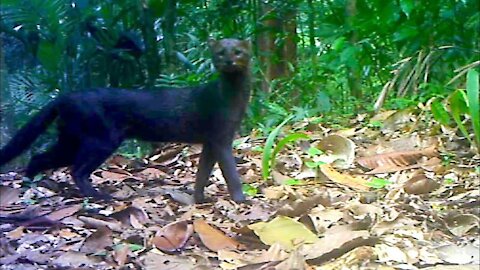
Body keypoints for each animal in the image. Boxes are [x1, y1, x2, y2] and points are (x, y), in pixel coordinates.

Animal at [0, 38, 253, 202]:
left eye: (238, 52)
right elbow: (230, 172)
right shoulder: (220, 138)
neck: (232, 97)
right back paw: (101, 196)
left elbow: (203, 172)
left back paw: (33, 185)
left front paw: (199, 199)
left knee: (39, 157)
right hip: (101, 139)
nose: (229, 61)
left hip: (70, 139)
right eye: (221, 53)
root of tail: (64, 97)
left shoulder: (211, 141)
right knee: (77, 170)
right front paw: (241, 199)